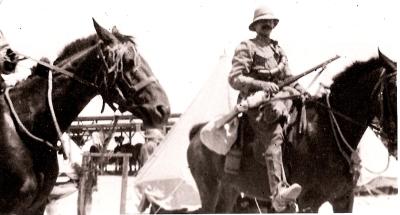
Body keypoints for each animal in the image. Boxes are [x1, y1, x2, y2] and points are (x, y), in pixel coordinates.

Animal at [188, 52, 396, 213]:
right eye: (393, 90)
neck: (327, 132)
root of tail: (197, 133)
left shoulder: (344, 200)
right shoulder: (309, 203)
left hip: (229, 191)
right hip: (209, 190)